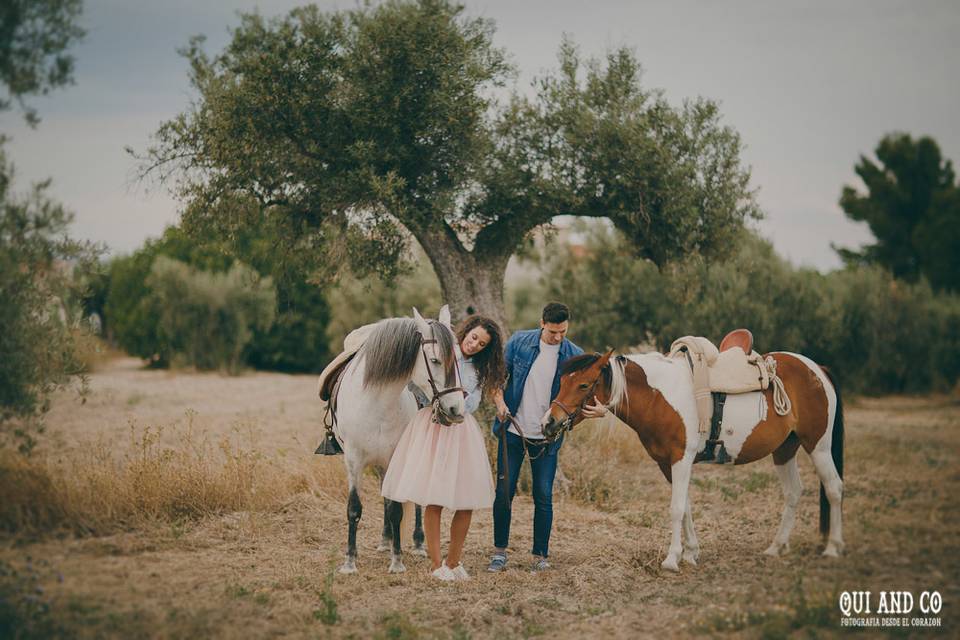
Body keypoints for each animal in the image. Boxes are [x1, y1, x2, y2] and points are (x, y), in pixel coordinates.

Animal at [330, 306, 464, 576]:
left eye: (457, 359)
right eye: (435, 360)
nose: (456, 409)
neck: (377, 401)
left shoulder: (395, 456)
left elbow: (396, 511)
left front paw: (397, 560)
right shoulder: (353, 460)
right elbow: (354, 508)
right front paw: (350, 561)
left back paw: (418, 543)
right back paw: (385, 540)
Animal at [544, 352, 844, 572]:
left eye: (583, 385)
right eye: (561, 381)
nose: (549, 422)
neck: (660, 397)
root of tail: (817, 369)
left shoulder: (680, 459)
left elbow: (676, 509)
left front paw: (671, 559)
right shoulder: (667, 464)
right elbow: (686, 507)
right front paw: (690, 553)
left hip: (818, 446)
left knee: (834, 489)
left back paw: (832, 547)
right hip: (784, 450)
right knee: (793, 492)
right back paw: (776, 547)